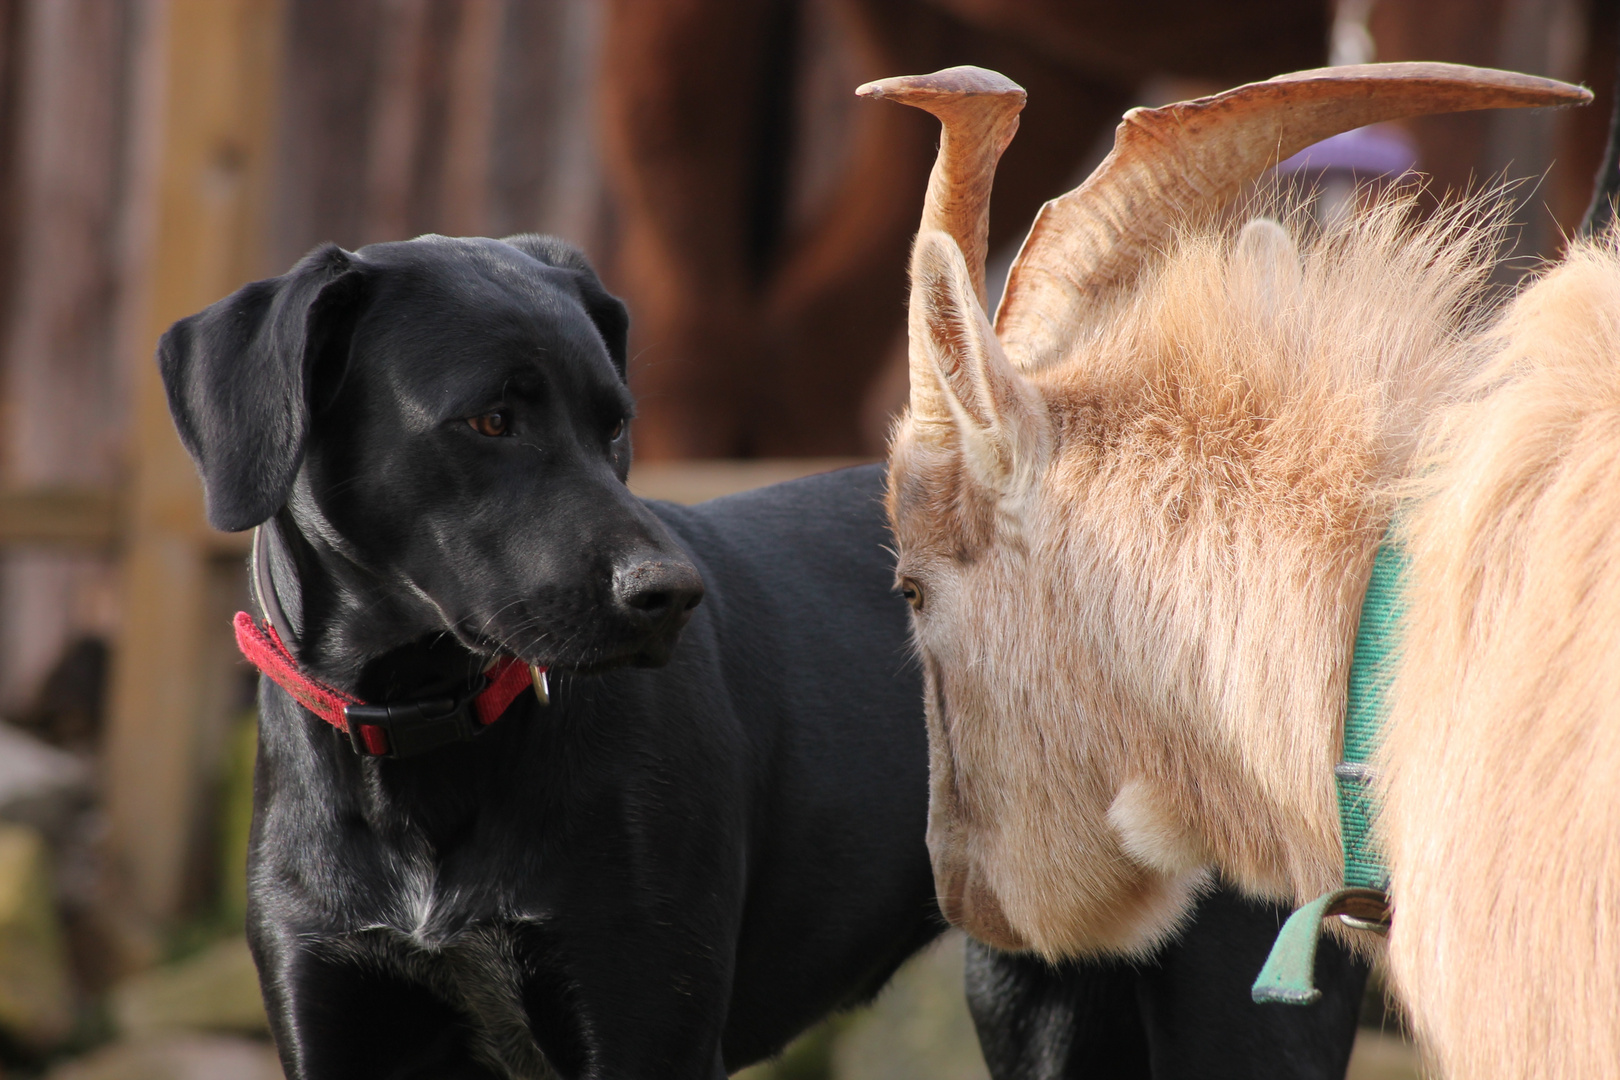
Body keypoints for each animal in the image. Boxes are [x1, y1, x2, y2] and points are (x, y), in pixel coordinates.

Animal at [161, 233, 1367, 1075]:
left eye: (614, 421)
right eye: (489, 421)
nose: (670, 598)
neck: (423, 747)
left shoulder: (644, 1031)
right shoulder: (337, 1023)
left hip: (1240, 1015)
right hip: (1045, 998)